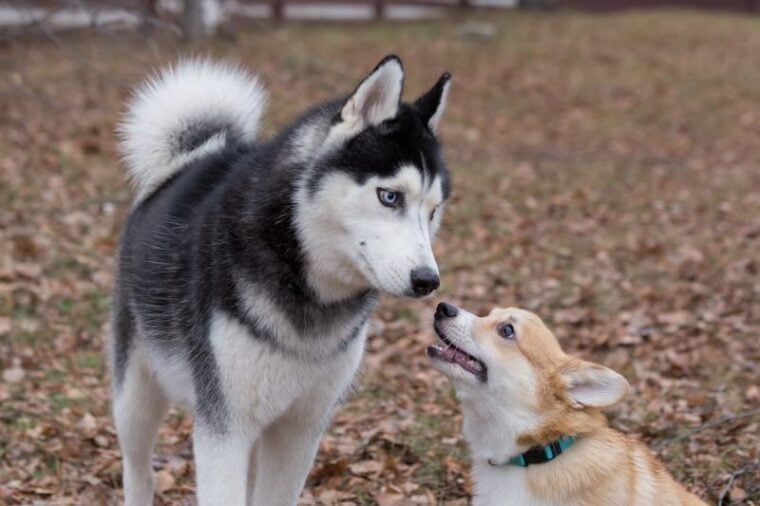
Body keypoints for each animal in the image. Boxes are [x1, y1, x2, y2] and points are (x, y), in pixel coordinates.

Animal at [113, 56, 452, 506]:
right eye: (389, 196)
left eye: (433, 211)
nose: (427, 280)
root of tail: (186, 163)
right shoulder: (224, 427)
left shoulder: (300, 428)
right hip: (135, 398)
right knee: (138, 468)